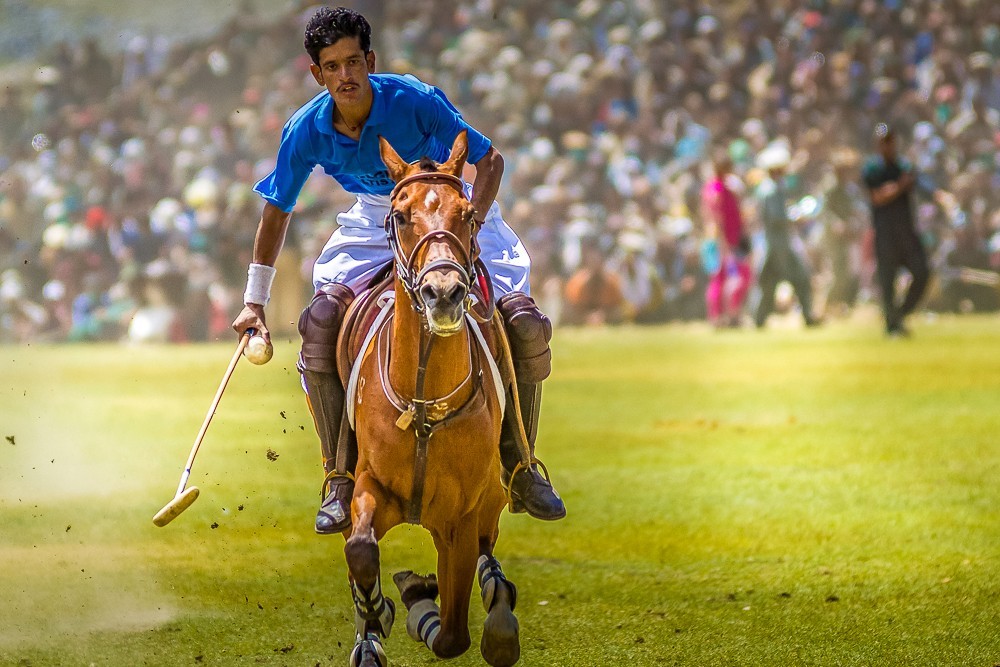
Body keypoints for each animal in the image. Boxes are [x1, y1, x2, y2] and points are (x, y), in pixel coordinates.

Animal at [344, 133, 524, 667]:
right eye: (401, 216)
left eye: (468, 213)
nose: (443, 292)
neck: (422, 403)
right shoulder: (370, 483)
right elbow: (361, 550)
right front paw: (377, 612)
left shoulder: (460, 517)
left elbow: (451, 636)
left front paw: (418, 599)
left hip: (490, 498)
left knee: (488, 553)